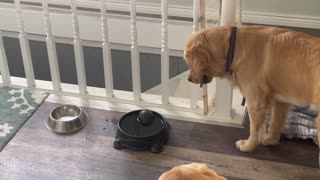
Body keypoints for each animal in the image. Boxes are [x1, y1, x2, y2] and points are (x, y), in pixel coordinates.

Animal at [184, 24, 320, 153]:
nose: (189, 79)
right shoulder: (280, 100)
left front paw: (248, 146)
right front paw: (271, 140)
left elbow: (254, 129)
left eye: (189, 62)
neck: (232, 47)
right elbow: (276, 122)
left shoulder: (255, 101)